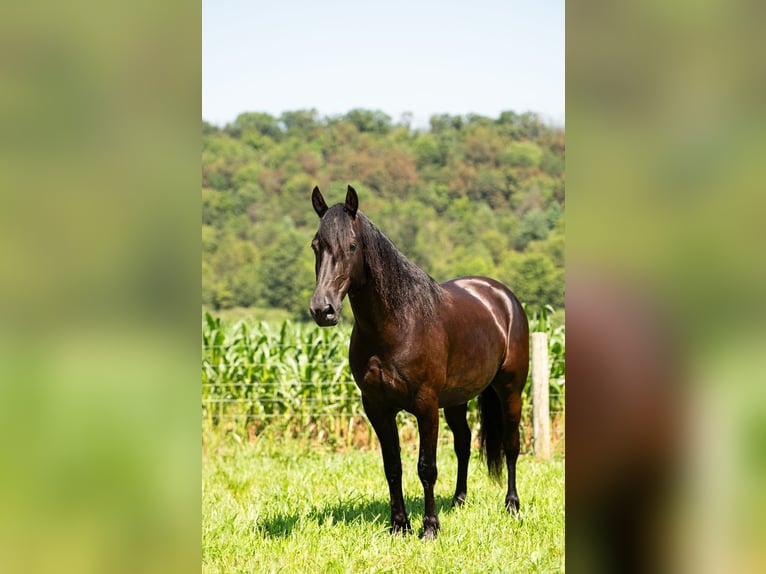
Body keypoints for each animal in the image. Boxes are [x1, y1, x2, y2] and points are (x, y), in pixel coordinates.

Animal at [309, 185, 529, 540]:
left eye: (352, 246)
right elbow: (393, 466)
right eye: (316, 245)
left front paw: (430, 528)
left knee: (511, 445)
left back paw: (511, 505)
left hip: (510, 390)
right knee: (464, 444)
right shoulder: (377, 407)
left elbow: (427, 467)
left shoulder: (426, 405)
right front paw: (399, 525)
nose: (322, 309)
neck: (398, 323)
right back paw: (459, 501)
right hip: (456, 400)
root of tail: (502, 296)